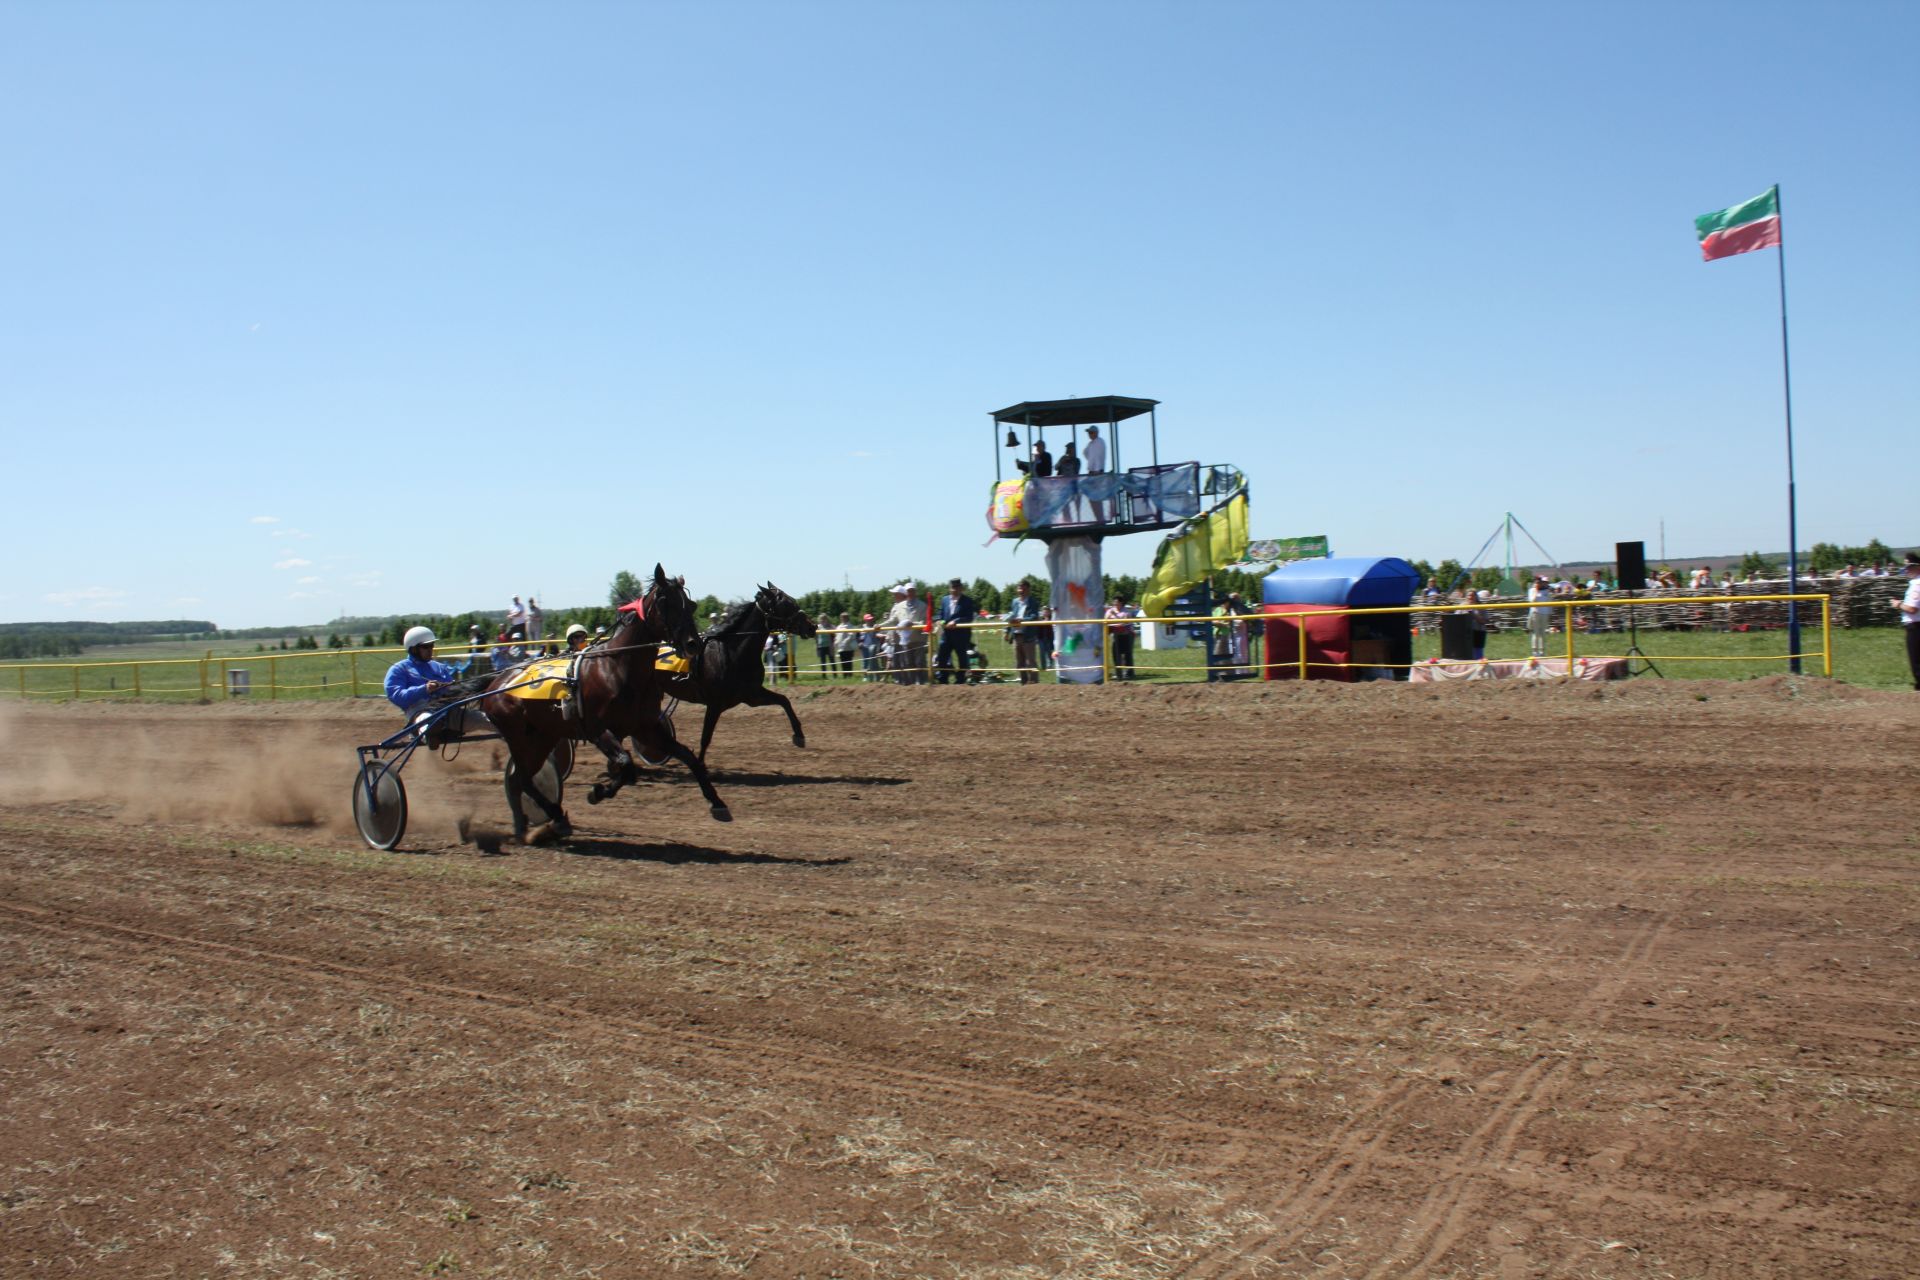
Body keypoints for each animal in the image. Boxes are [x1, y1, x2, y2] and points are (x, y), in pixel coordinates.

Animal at [478, 564, 725, 844]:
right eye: (665, 602)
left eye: (691, 605)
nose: (693, 644)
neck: (617, 668)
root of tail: (496, 682)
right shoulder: (597, 729)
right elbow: (626, 766)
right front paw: (596, 792)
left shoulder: (646, 728)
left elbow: (689, 758)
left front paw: (717, 803)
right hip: (519, 737)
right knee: (522, 779)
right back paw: (549, 819)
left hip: (543, 736)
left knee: (520, 779)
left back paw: (529, 824)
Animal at [675, 583, 817, 771]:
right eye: (787, 604)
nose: (812, 626)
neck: (734, 652)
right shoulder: (715, 703)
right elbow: (705, 737)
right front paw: (699, 767)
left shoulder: (751, 695)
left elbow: (784, 700)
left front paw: (799, 735)